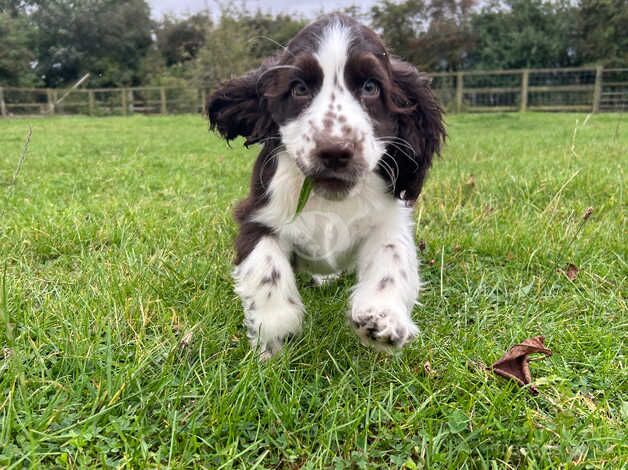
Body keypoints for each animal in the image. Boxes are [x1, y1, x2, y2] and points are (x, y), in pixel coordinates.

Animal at [209, 13, 444, 360]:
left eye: (371, 87)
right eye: (299, 88)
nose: (334, 151)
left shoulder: (389, 219)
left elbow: (393, 258)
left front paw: (382, 318)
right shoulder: (257, 214)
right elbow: (266, 266)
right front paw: (276, 331)